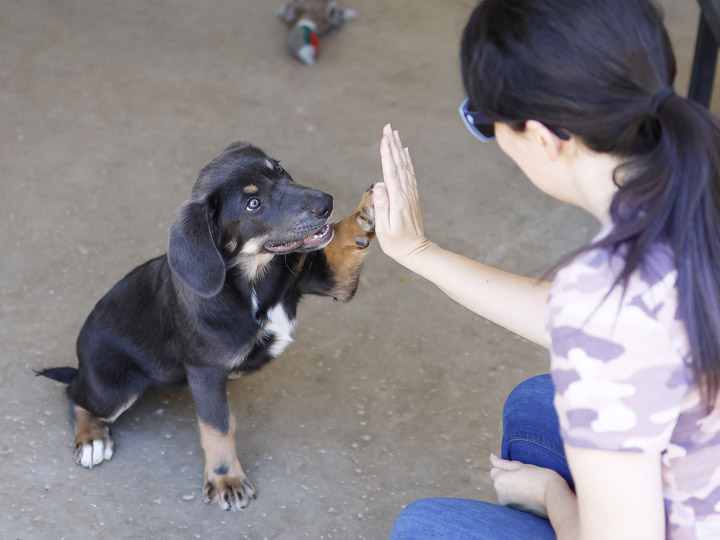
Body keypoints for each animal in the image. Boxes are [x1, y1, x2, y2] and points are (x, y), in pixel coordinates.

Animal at [38, 140, 376, 510]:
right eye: (253, 204)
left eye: (279, 169)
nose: (326, 203)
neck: (254, 280)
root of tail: (81, 364)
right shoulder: (205, 372)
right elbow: (219, 427)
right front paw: (226, 478)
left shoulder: (329, 279)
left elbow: (342, 245)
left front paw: (368, 210)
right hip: (114, 385)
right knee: (76, 396)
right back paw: (91, 440)